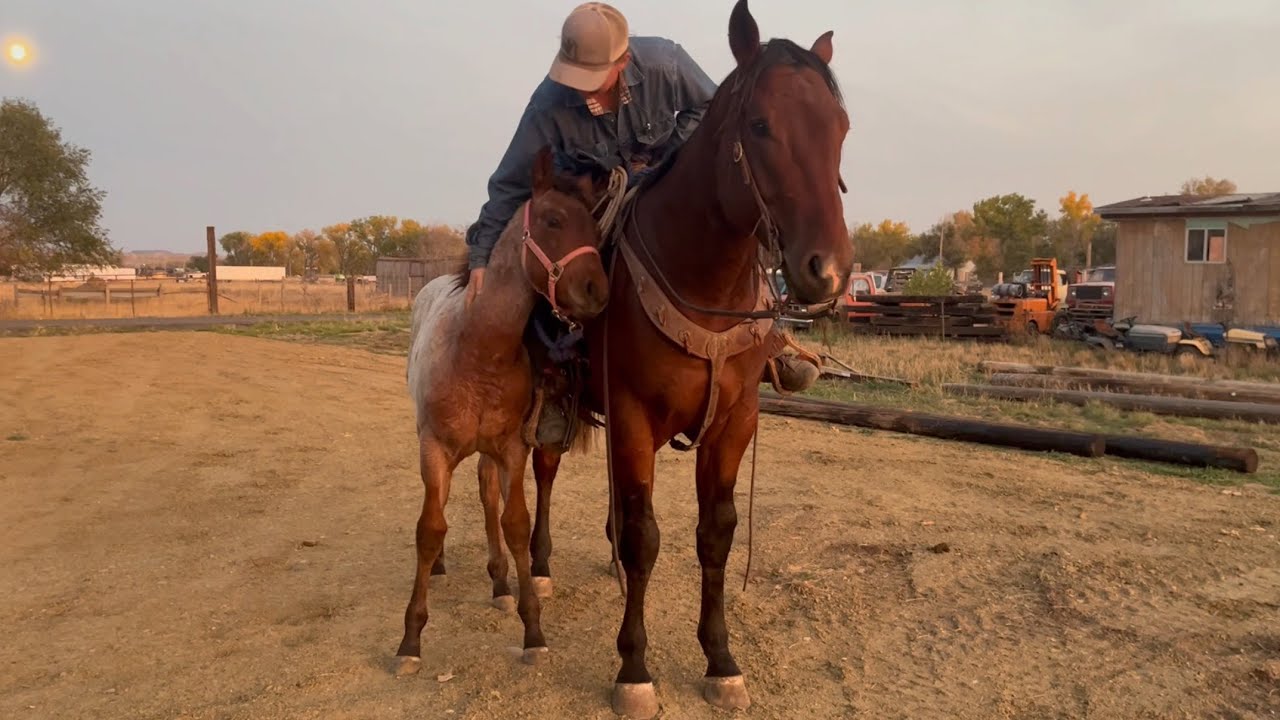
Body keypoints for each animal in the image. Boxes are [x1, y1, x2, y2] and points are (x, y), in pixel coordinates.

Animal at [393, 146, 610, 677]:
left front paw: (532, 630)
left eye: (596, 232)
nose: (597, 292)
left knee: (487, 495)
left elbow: (514, 524)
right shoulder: (434, 448)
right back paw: (448, 567)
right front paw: (410, 640)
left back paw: (499, 582)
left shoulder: (511, 448)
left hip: (489, 452)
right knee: (443, 507)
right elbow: (429, 528)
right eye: (553, 220)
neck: (479, 349)